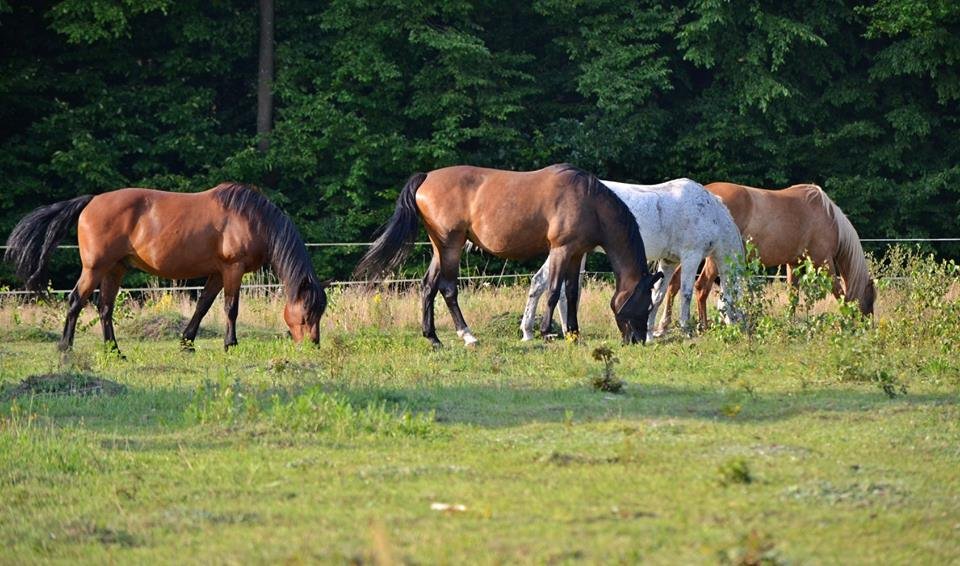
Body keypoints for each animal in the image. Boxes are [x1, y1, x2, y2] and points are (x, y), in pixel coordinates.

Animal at [3, 184, 328, 356]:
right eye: (306, 313)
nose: (313, 345)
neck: (252, 218)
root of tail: (91, 201)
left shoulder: (216, 273)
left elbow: (202, 306)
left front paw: (187, 342)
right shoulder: (231, 269)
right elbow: (230, 308)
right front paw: (230, 344)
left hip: (114, 269)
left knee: (105, 308)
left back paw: (115, 351)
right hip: (95, 268)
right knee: (75, 302)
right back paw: (65, 348)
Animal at [356, 164, 664, 348]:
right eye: (644, 304)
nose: (636, 340)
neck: (588, 201)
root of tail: (427, 178)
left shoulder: (576, 253)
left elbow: (572, 293)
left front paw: (574, 334)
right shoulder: (561, 249)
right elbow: (553, 291)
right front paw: (546, 332)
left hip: (439, 248)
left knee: (428, 286)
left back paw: (433, 338)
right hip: (451, 246)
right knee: (447, 288)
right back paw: (467, 335)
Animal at [660, 182, 876, 332]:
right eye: (871, 298)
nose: (868, 326)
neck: (827, 217)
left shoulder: (793, 264)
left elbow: (793, 296)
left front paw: (790, 322)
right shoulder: (823, 262)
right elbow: (839, 293)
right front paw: (846, 321)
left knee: (675, 283)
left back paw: (665, 324)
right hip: (712, 260)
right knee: (701, 288)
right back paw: (703, 326)